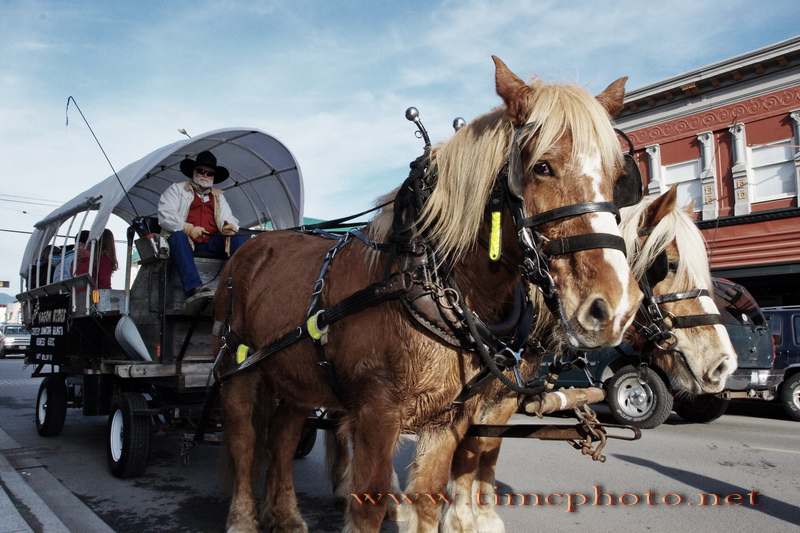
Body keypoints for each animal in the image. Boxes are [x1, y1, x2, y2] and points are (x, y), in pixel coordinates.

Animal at [216, 58, 640, 532]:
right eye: (543, 167)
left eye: (620, 178)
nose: (615, 307)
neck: (428, 282)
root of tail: (255, 242)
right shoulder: (377, 415)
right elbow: (369, 505)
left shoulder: (450, 419)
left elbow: (430, 498)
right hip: (239, 367)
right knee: (245, 440)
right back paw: (243, 518)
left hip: (295, 378)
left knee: (283, 438)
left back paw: (285, 514)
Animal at [438, 184, 736, 532]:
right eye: (671, 264)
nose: (723, 363)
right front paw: (459, 519)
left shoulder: (501, 401)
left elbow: (482, 451)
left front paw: (475, 518)